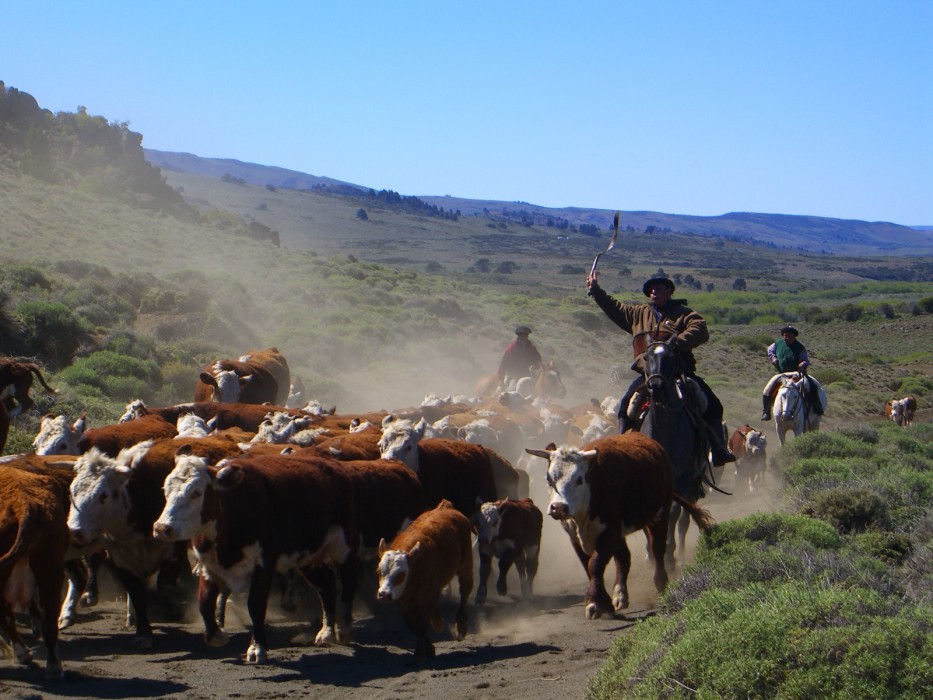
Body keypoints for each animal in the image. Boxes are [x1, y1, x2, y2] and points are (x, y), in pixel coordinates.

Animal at [151, 448, 358, 660]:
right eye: (165, 489)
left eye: (196, 492)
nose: (162, 528)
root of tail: (336, 468)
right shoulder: (209, 565)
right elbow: (205, 602)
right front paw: (217, 635)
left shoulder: (264, 562)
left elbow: (255, 604)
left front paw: (257, 647)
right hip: (308, 557)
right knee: (326, 584)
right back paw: (326, 632)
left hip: (344, 544)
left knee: (348, 579)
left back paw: (343, 628)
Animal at [374, 500, 474, 660]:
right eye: (379, 571)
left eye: (401, 573)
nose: (384, 594)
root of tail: (446, 506)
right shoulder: (403, 602)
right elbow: (413, 626)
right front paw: (429, 648)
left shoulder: (426, 598)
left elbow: (421, 625)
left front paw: (420, 653)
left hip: (465, 564)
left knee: (465, 590)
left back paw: (460, 626)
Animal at [524, 434, 712, 620]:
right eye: (549, 479)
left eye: (579, 479)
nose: (558, 507)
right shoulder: (575, 538)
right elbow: (588, 566)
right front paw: (604, 603)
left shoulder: (610, 534)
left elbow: (594, 564)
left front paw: (594, 604)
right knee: (624, 557)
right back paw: (620, 594)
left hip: (659, 515)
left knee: (658, 549)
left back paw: (661, 583)